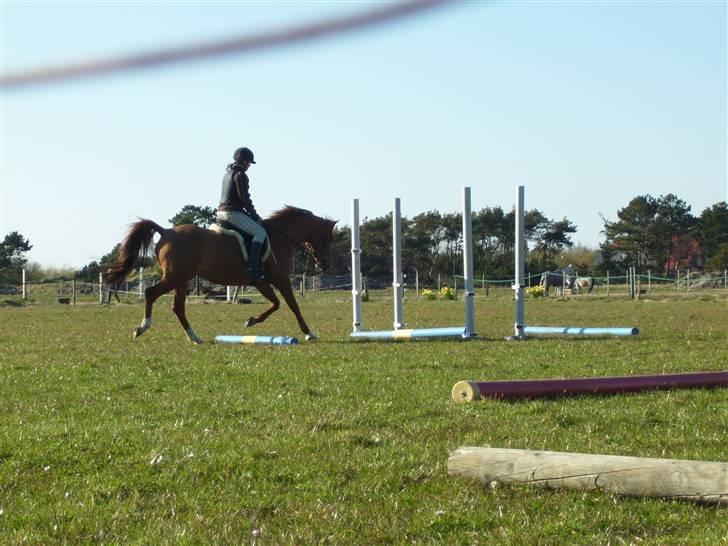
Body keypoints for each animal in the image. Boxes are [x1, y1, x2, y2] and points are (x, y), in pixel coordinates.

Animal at [106, 206, 338, 342]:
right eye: (328, 238)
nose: (325, 264)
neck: (280, 237)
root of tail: (166, 231)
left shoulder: (262, 282)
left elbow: (276, 304)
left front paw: (251, 321)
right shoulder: (279, 279)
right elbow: (291, 305)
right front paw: (309, 333)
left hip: (182, 279)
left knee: (177, 307)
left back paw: (194, 337)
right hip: (175, 277)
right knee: (151, 293)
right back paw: (142, 327)